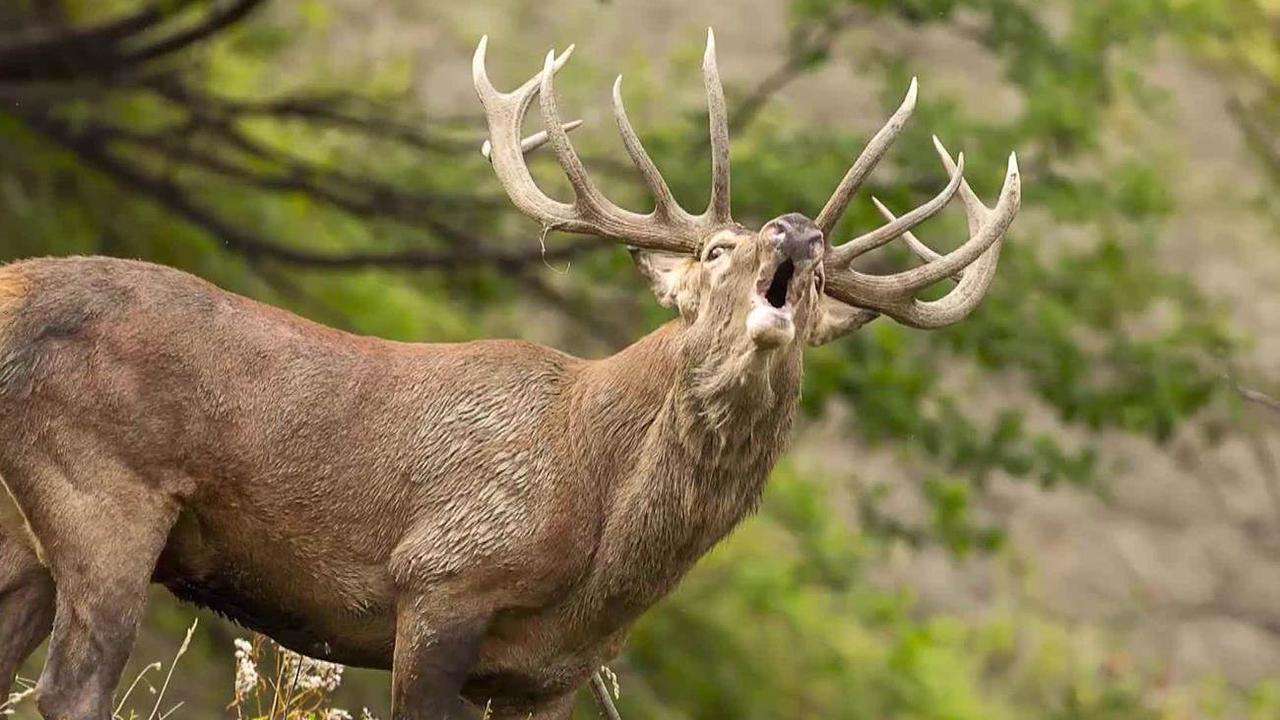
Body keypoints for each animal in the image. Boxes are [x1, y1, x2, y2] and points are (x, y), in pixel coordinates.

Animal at [0, 28, 1018, 717]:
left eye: (821, 286)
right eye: (718, 248)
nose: (798, 233)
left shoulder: (548, 674)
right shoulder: (442, 577)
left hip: (27, 536)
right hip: (105, 490)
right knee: (70, 690)